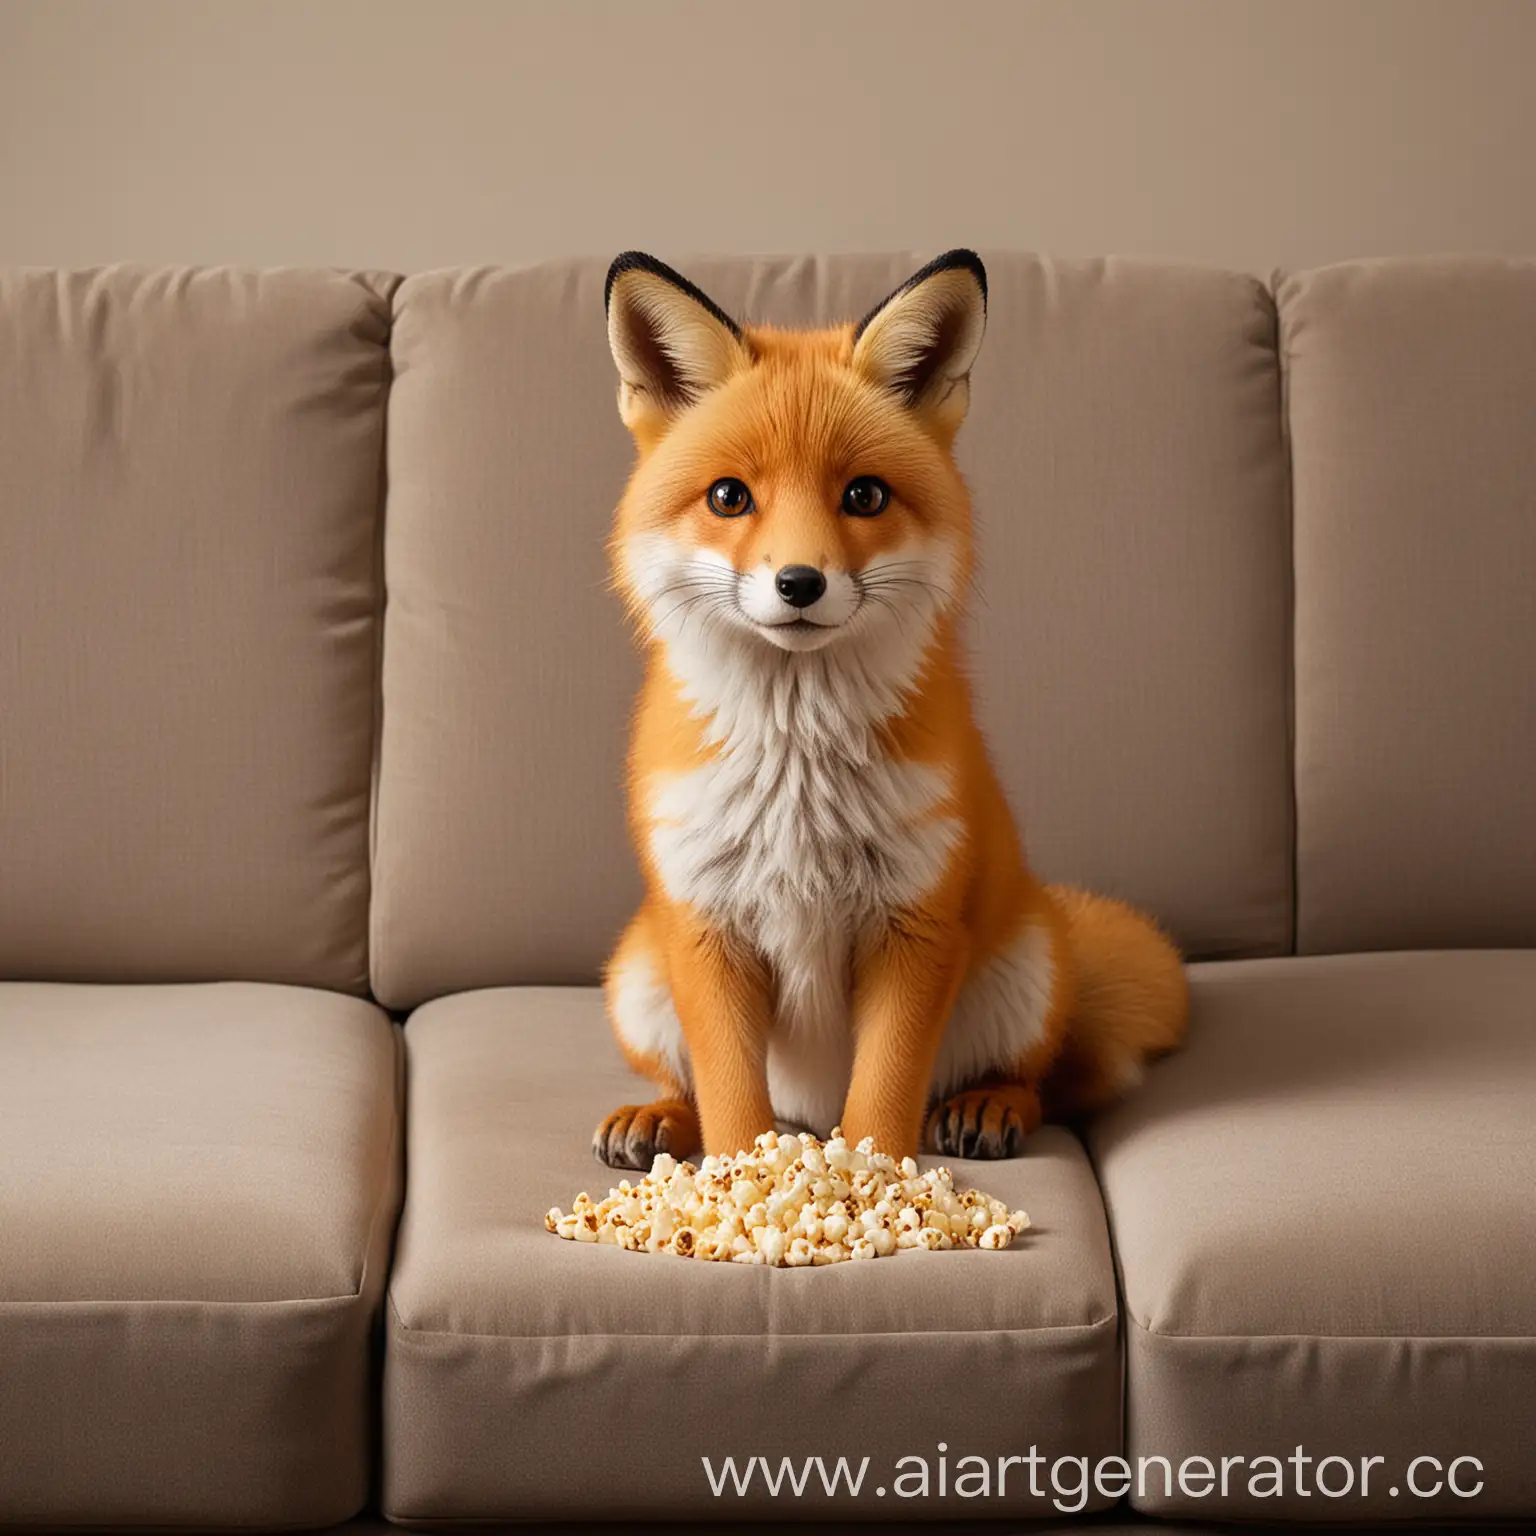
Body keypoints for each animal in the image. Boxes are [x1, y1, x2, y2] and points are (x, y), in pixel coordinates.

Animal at [592, 248, 1179, 1161]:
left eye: (864, 496)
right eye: (729, 497)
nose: (800, 583)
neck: (796, 772)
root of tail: (808, 1113)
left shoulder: (916, 922)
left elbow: (883, 1101)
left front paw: (879, 1178)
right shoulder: (706, 929)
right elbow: (731, 1106)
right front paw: (735, 1179)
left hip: (1025, 972)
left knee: (1043, 1084)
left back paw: (989, 1105)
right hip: (637, 972)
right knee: (688, 1085)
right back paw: (658, 1117)